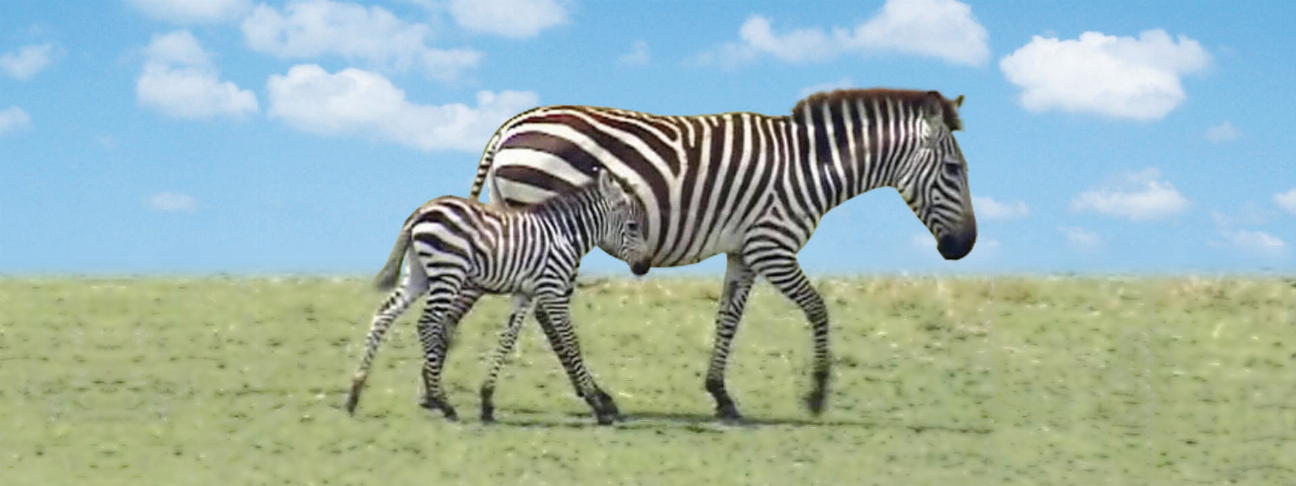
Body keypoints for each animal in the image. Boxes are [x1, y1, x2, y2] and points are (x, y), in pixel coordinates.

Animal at [344, 168, 650, 425]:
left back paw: (354, 395)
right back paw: (443, 403)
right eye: (633, 226)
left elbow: (508, 338)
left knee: (385, 313)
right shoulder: (552, 290)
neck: (566, 236)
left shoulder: (525, 292)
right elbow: (571, 341)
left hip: (420, 273)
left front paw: (487, 401)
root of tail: (420, 211)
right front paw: (598, 405)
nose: (643, 267)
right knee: (428, 324)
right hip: (448, 271)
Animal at [460, 88, 978, 420]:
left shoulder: (744, 252)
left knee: (537, 308)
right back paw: (596, 399)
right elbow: (818, 309)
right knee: (550, 309)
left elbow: (728, 319)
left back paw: (586, 395)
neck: (810, 169)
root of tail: (511, 125)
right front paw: (816, 396)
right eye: (954, 169)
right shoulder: (771, 246)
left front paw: (720, 395)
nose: (965, 246)